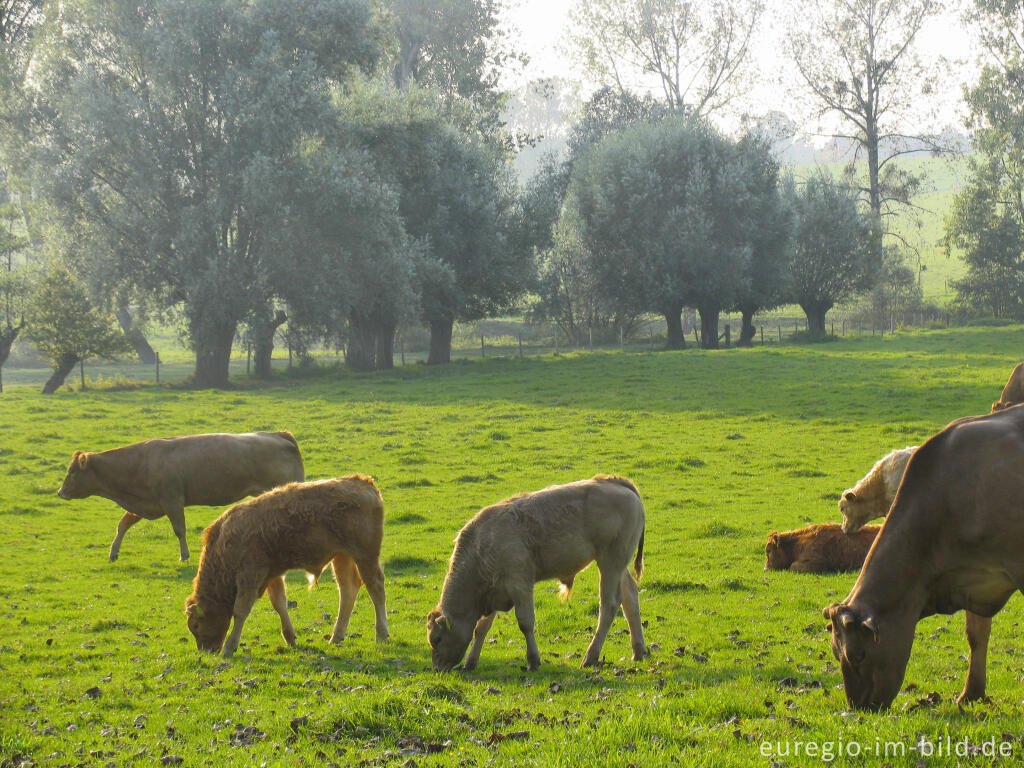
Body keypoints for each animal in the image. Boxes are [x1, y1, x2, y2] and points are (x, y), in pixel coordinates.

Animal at [56, 430, 303, 561]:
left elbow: (179, 530)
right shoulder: (147, 504)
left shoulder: (172, 502)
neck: (139, 463)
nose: (60, 492)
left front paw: (184, 555)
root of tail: (279, 436)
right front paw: (113, 552)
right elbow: (123, 524)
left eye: (72, 472)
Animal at [182, 479, 389, 659]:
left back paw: (381, 635)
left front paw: (229, 647)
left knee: (376, 588)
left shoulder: (250, 575)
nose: (207, 650)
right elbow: (279, 603)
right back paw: (335, 637)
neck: (223, 544)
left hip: (365, 556)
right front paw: (290, 638)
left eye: (196, 625)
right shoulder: (272, 575)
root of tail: (364, 482)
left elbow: (240, 611)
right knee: (348, 591)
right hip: (342, 557)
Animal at [425, 475, 647, 671]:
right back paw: (639, 651)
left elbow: (525, 623)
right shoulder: (494, 590)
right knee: (630, 597)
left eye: (437, 639)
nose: (437, 668)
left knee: (609, 604)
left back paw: (590, 657)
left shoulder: (519, 584)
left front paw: (533, 660)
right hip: (618, 567)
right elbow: (482, 628)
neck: (482, 545)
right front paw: (471, 662)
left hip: (610, 563)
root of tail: (615, 482)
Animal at [823, 409, 1024, 716]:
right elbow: (977, 634)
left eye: (857, 655)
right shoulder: (976, 578)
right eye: (836, 653)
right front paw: (971, 694)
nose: (860, 707)